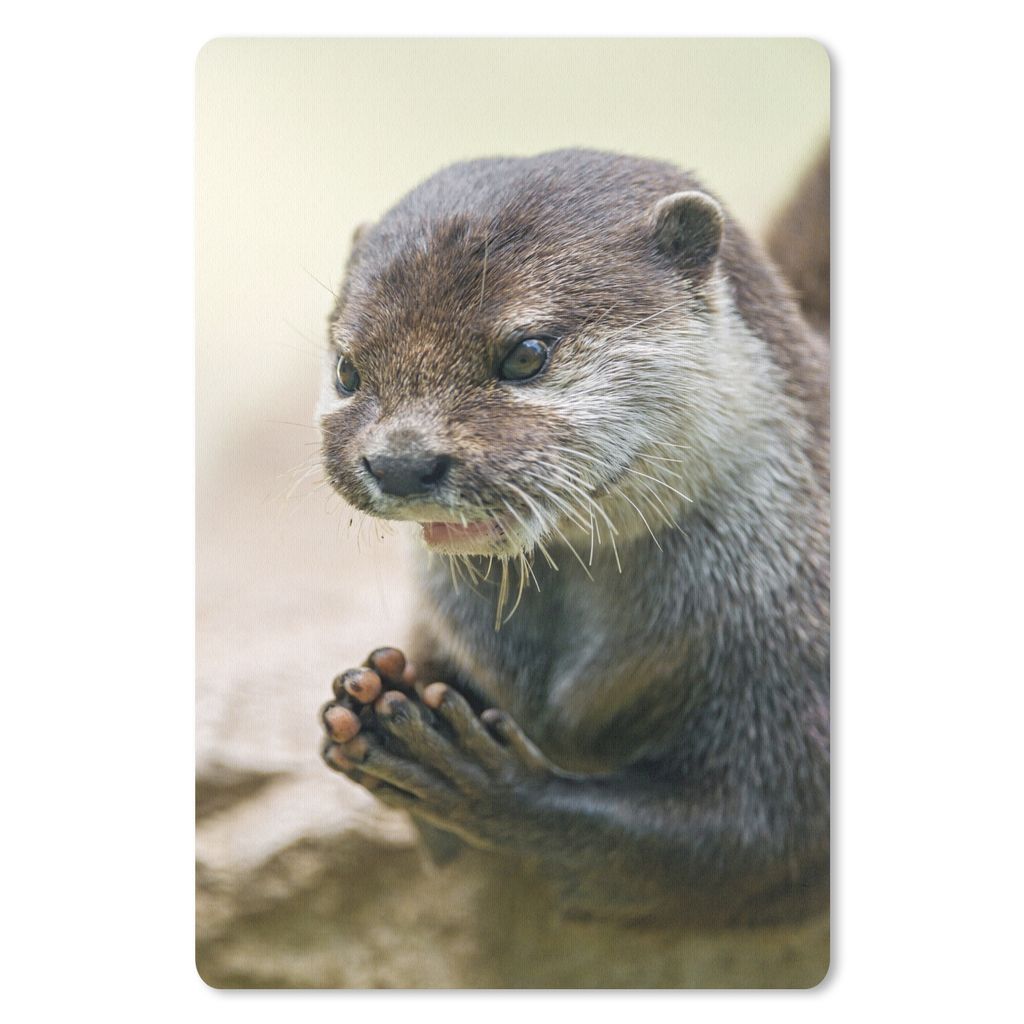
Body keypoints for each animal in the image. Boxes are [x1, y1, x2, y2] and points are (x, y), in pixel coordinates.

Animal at [317, 148, 829, 927]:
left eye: (526, 354)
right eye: (347, 369)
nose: (401, 462)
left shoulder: (794, 669)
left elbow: (753, 834)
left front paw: (485, 783)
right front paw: (375, 693)